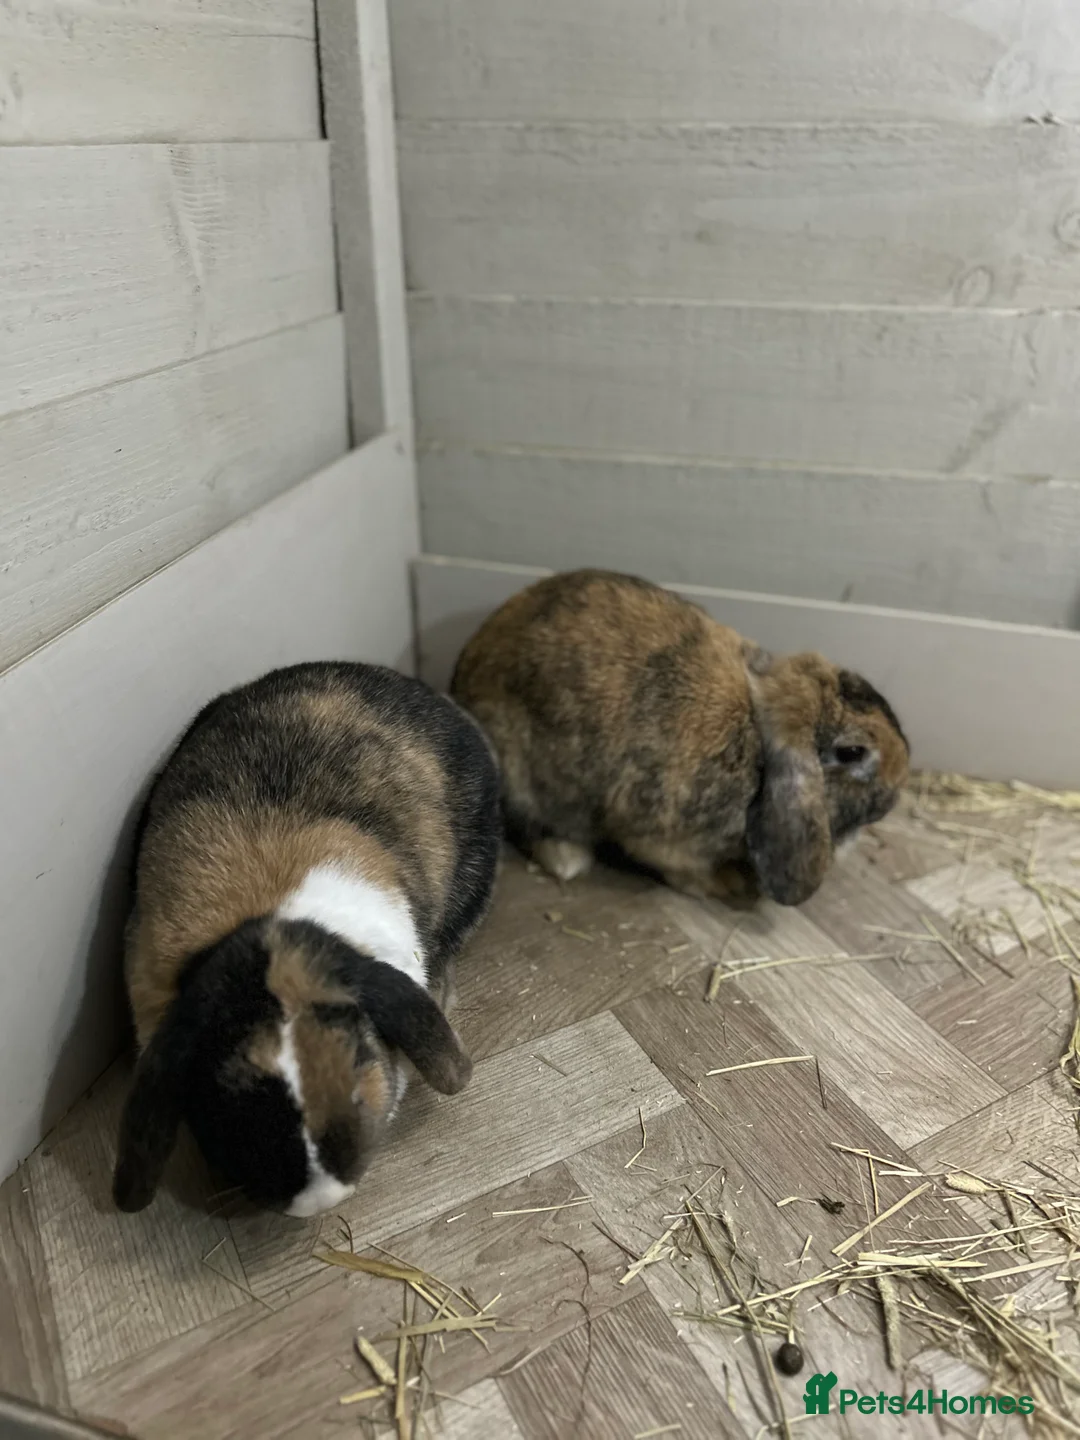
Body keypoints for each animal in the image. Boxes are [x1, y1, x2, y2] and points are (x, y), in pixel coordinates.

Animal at [450, 569, 908, 908]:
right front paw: (730, 884)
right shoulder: (665, 837)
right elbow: (683, 869)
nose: (898, 785)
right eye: (852, 752)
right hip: (517, 774)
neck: (757, 735)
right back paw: (567, 858)